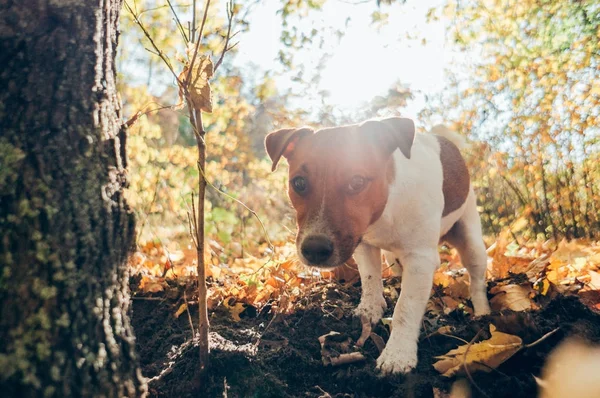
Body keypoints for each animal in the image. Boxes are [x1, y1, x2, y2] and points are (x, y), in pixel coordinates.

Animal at [264, 117, 490, 374]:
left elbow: (406, 307)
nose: (314, 249)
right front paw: (370, 310)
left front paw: (397, 354)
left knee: (477, 281)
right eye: (299, 183)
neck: (385, 208)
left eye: (357, 182)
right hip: (395, 258)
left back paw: (482, 313)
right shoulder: (362, 244)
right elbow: (370, 279)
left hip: (471, 241)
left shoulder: (420, 259)